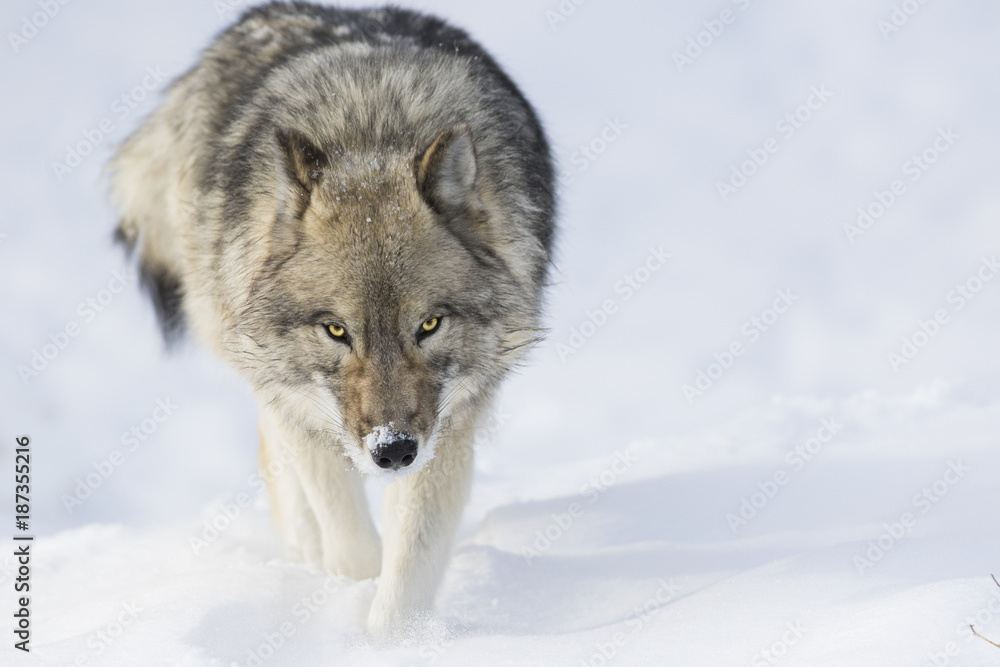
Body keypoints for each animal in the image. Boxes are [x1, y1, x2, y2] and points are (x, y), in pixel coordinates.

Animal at [109, 1, 554, 638]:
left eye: (428, 326)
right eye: (337, 331)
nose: (393, 451)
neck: (371, 134)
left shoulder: (452, 423)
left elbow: (410, 561)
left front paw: (395, 640)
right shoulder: (303, 409)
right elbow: (351, 544)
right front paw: (346, 591)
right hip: (260, 365)